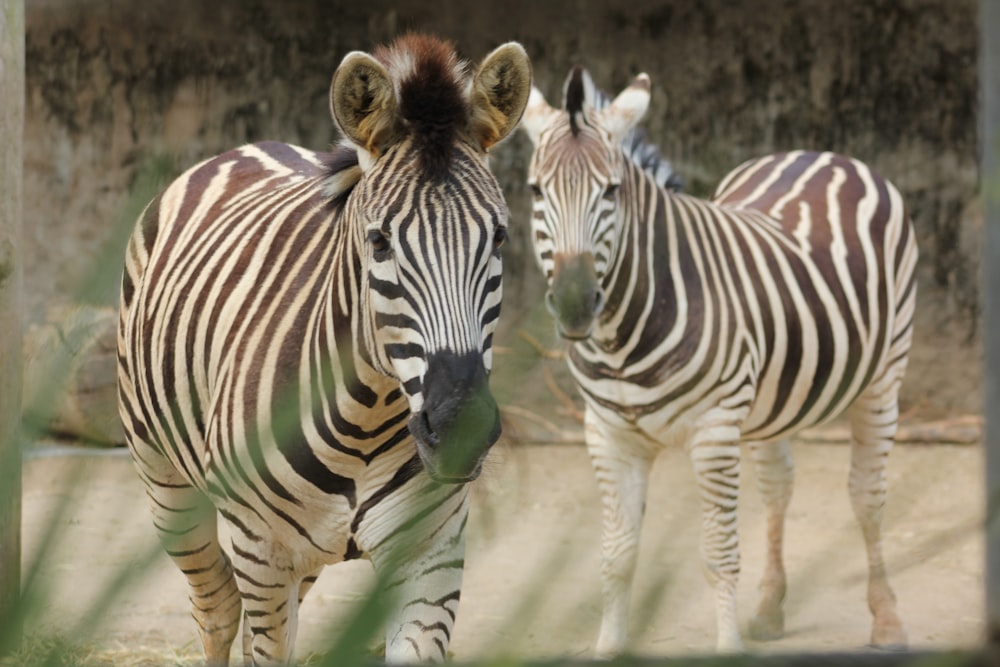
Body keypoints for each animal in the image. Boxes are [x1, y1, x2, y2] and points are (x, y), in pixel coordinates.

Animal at [117, 36, 532, 667]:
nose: (461, 426)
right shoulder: (262, 552)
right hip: (168, 489)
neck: (368, 413)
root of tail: (248, 147)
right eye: (380, 242)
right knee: (216, 607)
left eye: (499, 238)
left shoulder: (430, 555)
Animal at [520, 70, 916, 656]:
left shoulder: (712, 430)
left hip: (882, 378)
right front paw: (609, 648)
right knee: (778, 487)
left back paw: (887, 621)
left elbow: (718, 555)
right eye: (535, 190)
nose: (574, 303)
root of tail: (824, 153)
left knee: (867, 495)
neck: (621, 339)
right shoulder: (608, 435)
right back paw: (771, 609)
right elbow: (617, 557)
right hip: (775, 397)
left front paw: (728, 648)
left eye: (611, 191)